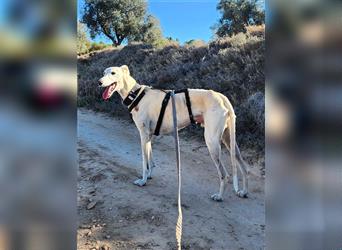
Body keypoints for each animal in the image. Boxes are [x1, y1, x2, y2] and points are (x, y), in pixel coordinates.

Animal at [99, 65, 248, 201]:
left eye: (113, 73)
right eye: (104, 72)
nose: (99, 82)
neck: (135, 94)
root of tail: (220, 96)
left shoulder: (143, 135)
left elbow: (144, 161)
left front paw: (143, 181)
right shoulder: (149, 136)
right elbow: (150, 159)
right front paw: (150, 175)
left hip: (212, 142)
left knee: (224, 174)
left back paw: (219, 196)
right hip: (229, 140)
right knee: (243, 166)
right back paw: (243, 191)